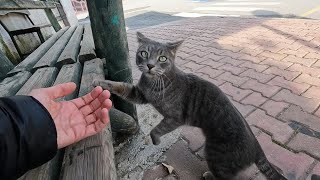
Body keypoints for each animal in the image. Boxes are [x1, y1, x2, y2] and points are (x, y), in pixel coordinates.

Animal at [92, 32, 288, 180]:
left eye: (162, 58)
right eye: (144, 53)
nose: (150, 65)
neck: (154, 83)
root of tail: (257, 148)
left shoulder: (175, 117)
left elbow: (157, 128)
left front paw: (156, 140)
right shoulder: (139, 94)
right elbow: (119, 86)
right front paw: (99, 82)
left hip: (216, 156)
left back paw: (209, 175)